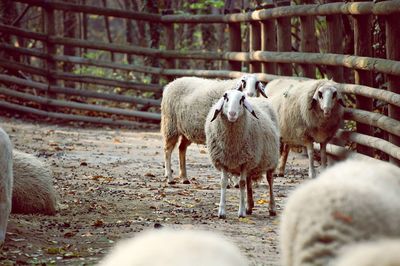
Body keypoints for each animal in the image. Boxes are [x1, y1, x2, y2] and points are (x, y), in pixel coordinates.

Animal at [203, 90, 278, 218]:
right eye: (225, 97)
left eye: (242, 99)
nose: (232, 113)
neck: (231, 145)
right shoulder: (224, 160)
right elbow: (223, 182)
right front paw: (222, 212)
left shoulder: (245, 162)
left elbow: (242, 183)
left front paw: (241, 212)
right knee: (249, 181)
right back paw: (249, 206)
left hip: (271, 159)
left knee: (270, 181)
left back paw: (271, 208)